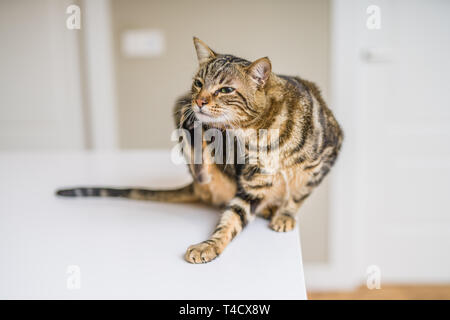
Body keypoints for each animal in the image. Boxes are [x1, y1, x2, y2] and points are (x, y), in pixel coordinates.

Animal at [57, 37, 344, 264]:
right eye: (198, 83)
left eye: (226, 89)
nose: (199, 101)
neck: (258, 133)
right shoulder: (252, 184)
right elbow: (231, 219)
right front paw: (210, 245)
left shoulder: (328, 156)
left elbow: (298, 196)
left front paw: (285, 214)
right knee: (200, 161)